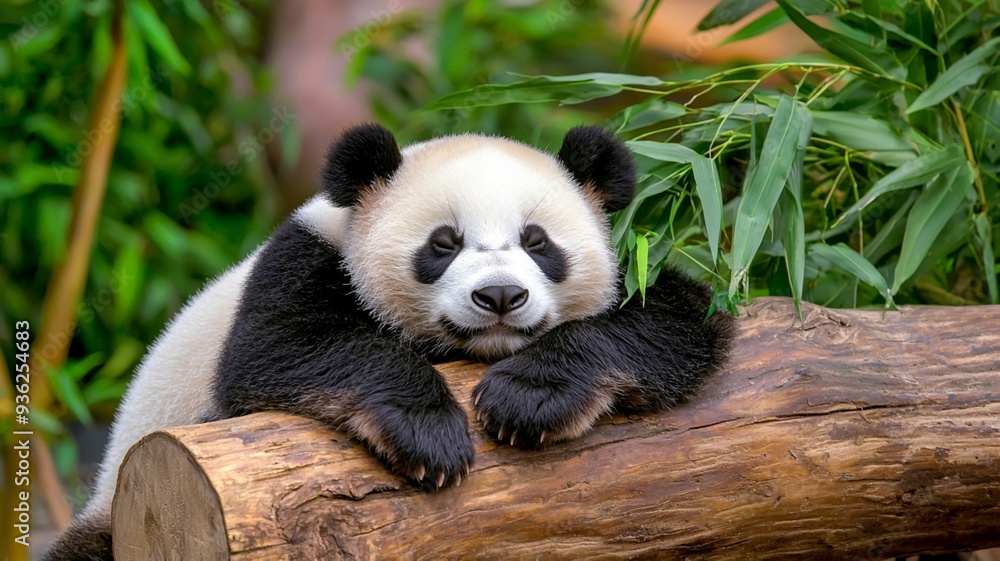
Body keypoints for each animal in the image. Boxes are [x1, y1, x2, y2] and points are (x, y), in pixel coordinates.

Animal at [46, 124, 733, 560]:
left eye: (537, 242)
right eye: (443, 243)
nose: (500, 296)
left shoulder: (639, 280)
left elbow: (673, 320)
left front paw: (530, 400)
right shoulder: (304, 259)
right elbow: (284, 350)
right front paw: (428, 434)